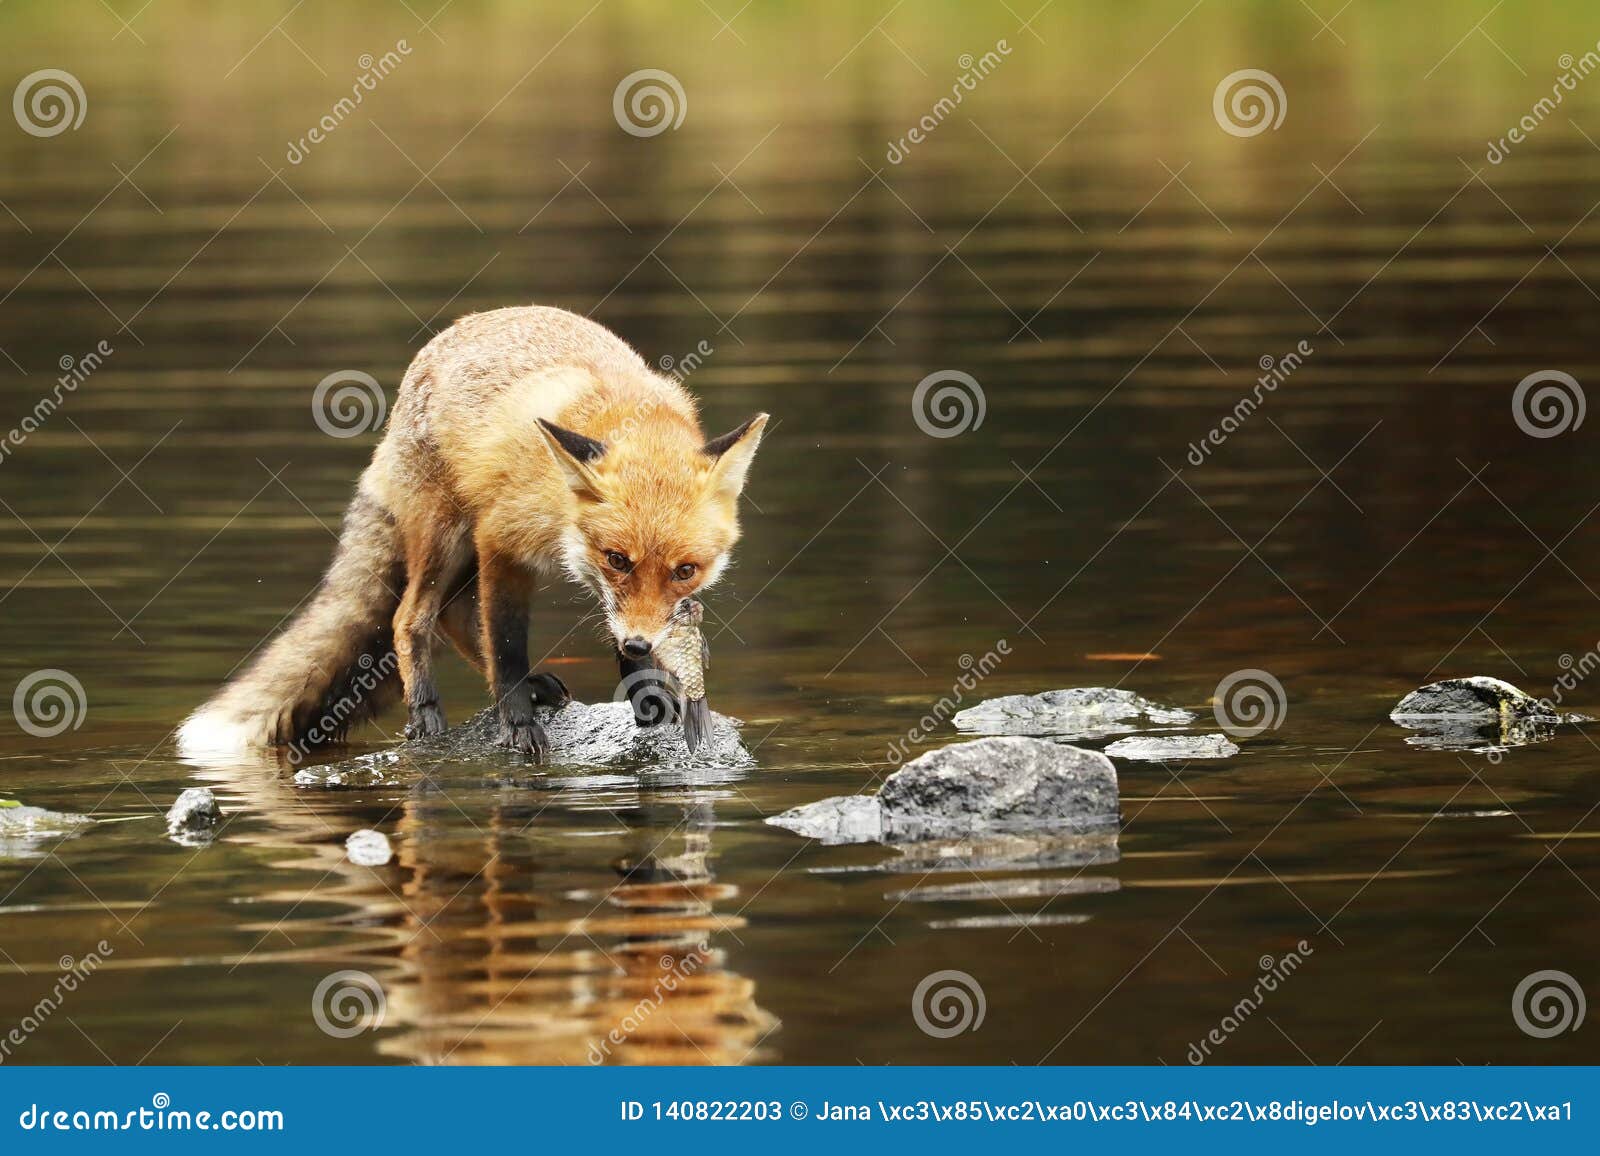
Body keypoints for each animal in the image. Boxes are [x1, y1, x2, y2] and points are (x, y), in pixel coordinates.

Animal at [178, 301, 764, 762]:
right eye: (618, 558)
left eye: (685, 571)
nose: (642, 644)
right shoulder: (502, 541)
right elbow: (505, 643)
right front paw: (518, 722)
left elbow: (614, 636)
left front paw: (650, 693)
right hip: (447, 535)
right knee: (412, 617)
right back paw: (427, 710)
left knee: (453, 614)